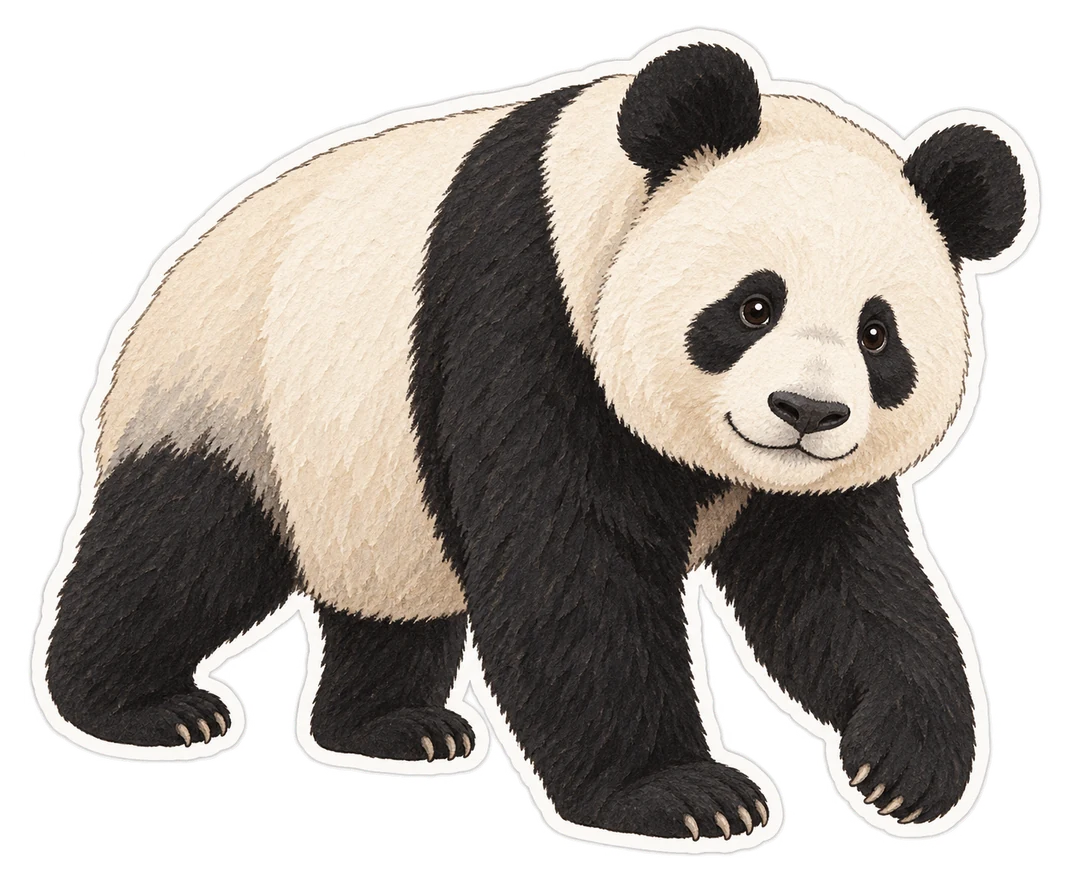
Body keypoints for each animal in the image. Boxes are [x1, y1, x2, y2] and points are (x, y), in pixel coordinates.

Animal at [44, 42, 1025, 840]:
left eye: (877, 336)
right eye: (755, 305)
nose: (806, 411)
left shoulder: (802, 485)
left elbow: (839, 587)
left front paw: (906, 767)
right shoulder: (522, 310)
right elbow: (569, 564)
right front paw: (681, 794)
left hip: (364, 490)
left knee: (388, 610)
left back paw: (393, 727)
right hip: (234, 400)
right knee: (179, 551)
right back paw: (144, 709)